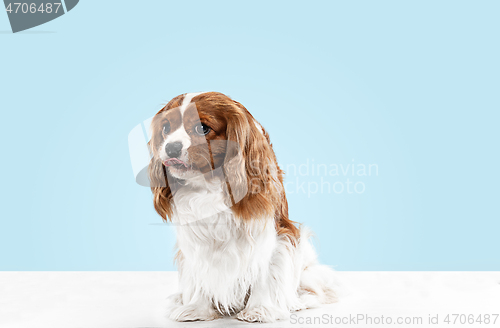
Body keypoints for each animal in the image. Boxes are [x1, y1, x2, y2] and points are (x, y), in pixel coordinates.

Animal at [147, 92, 336, 322]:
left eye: (202, 128)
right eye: (166, 128)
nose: (171, 147)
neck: (208, 185)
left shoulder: (274, 235)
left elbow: (264, 272)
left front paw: (259, 309)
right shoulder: (195, 242)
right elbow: (200, 272)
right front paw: (197, 308)